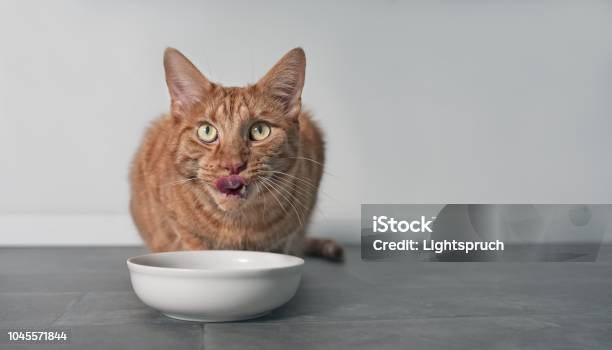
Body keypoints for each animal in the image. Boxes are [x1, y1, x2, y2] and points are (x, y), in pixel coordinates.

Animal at [128, 47, 344, 260]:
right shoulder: (180, 227)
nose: (233, 165)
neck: (235, 226)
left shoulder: (287, 236)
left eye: (260, 130)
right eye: (207, 131)